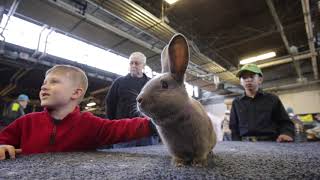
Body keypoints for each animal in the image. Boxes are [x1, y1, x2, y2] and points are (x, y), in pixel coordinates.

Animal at [136, 33, 216, 167]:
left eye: (164, 85)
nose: (139, 100)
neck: (175, 118)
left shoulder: (202, 141)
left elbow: (201, 152)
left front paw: (198, 163)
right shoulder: (173, 147)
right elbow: (178, 155)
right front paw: (178, 163)